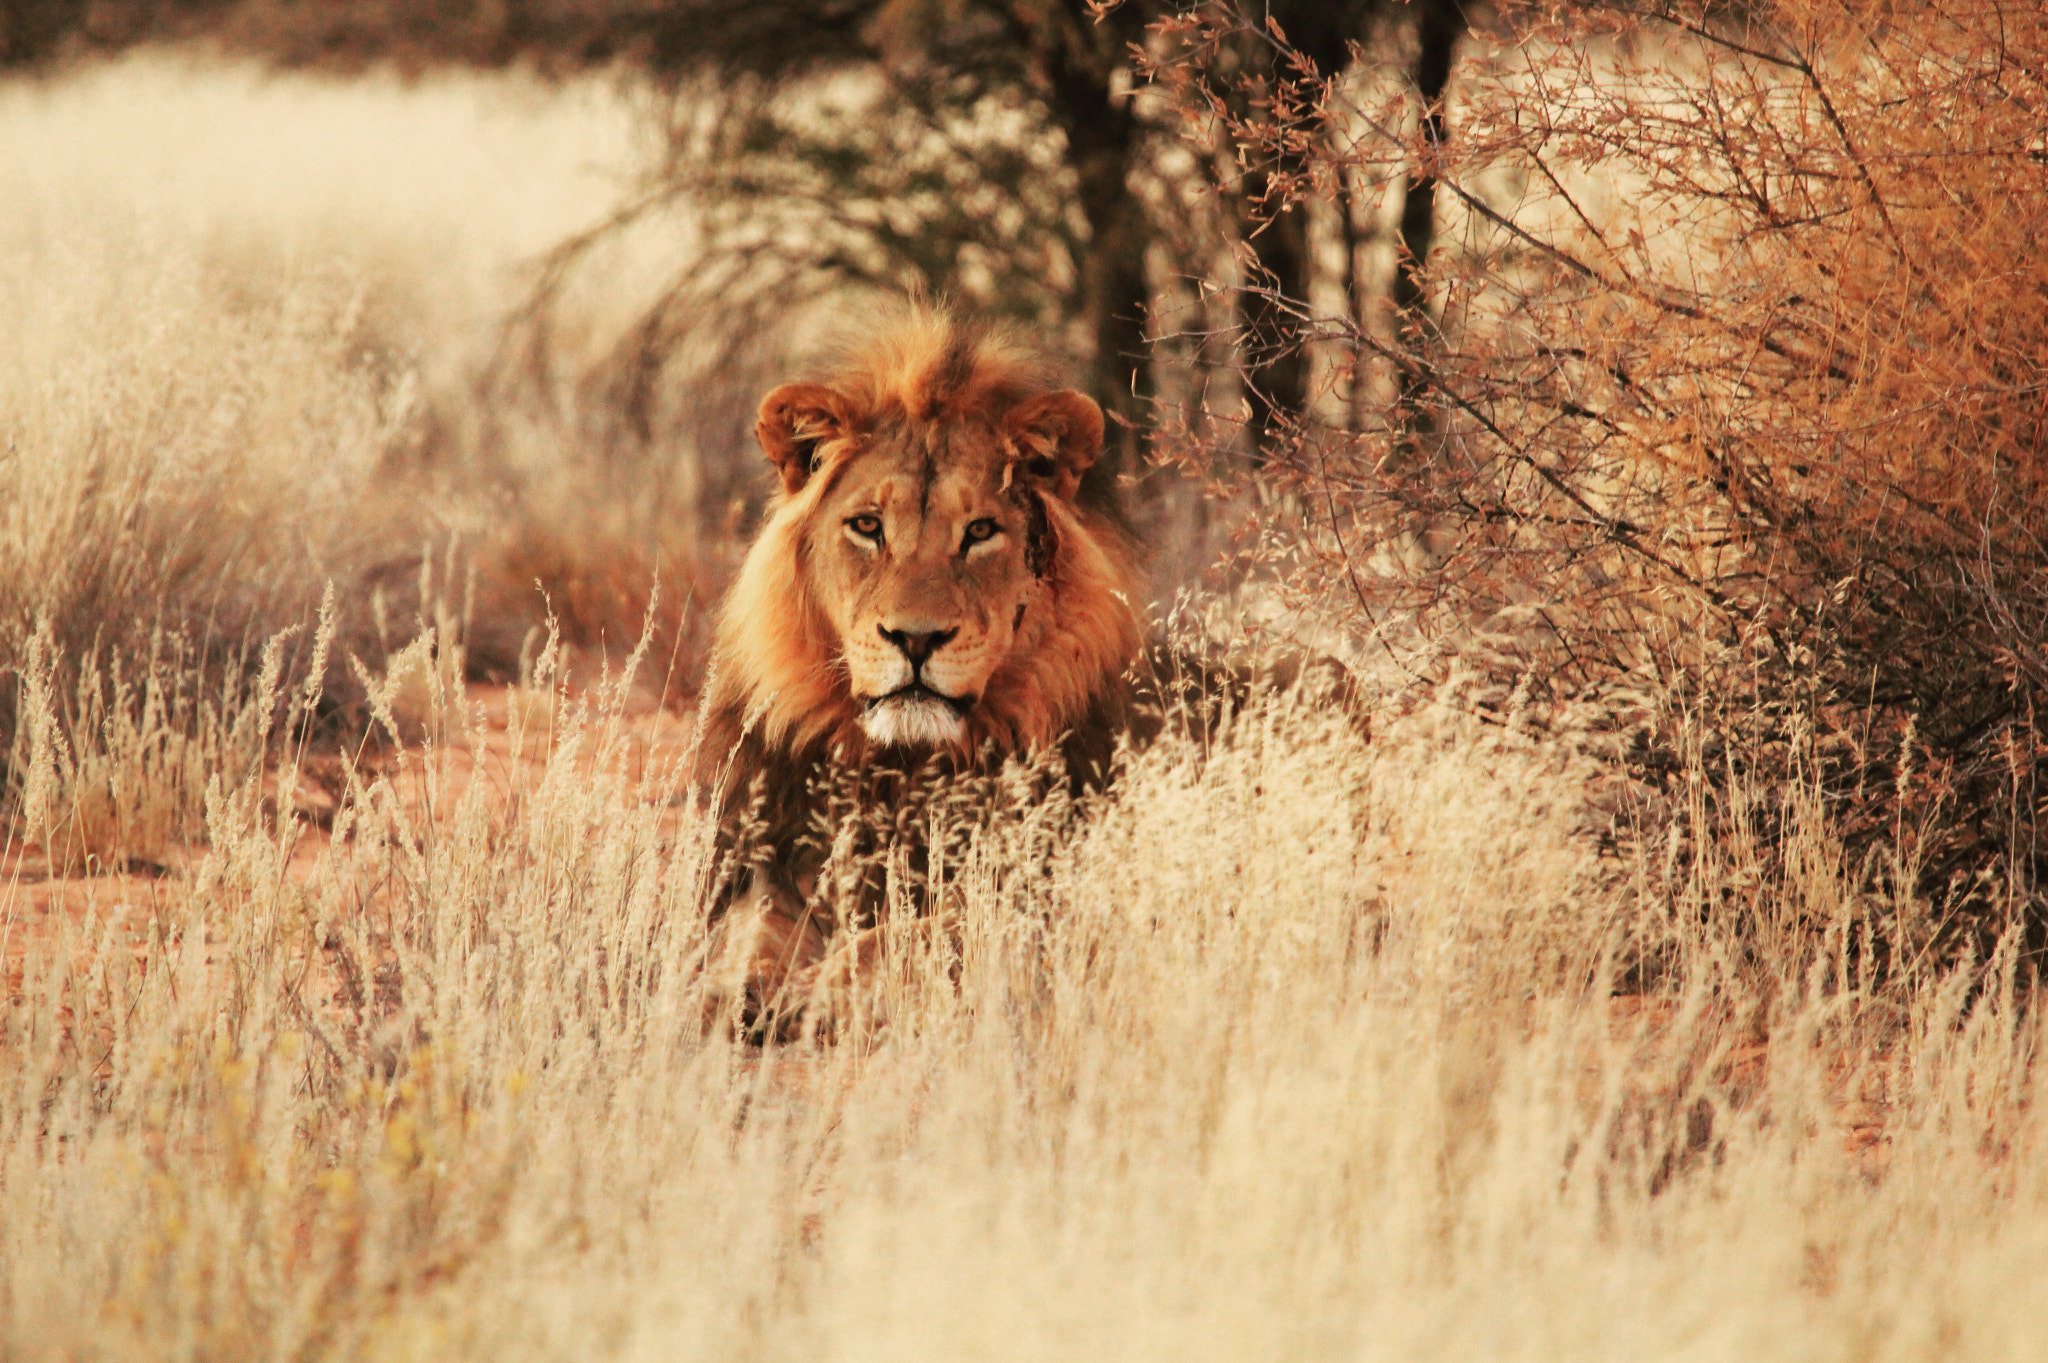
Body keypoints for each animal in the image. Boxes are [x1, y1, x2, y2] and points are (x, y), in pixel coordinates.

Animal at [692, 304, 1155, 1031]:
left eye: (980, 532)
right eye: (867, 526)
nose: (915, 638)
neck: (902, 771)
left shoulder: (1042, 900)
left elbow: (910, 934)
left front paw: (817, 992)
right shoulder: (762, 868)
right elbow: (747, 935)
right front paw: (731, 989)